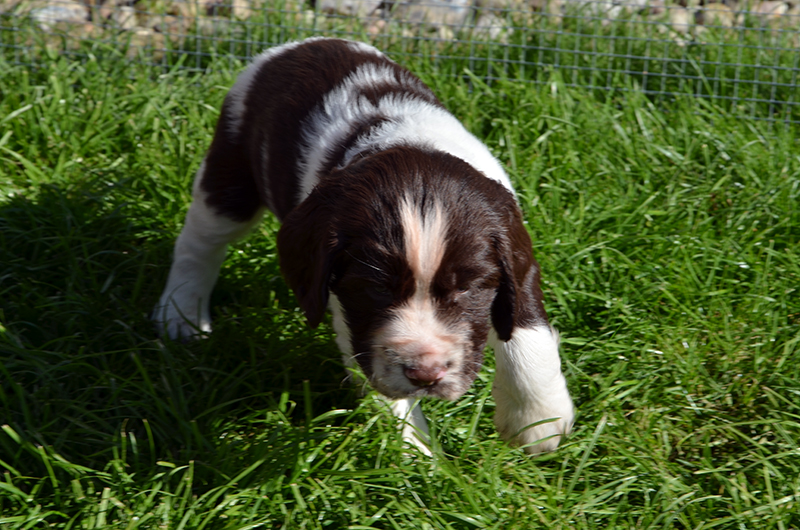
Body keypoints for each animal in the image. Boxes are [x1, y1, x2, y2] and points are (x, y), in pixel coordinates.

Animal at [152, 36, 576, 454]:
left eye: (470, 288)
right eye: (375, 288)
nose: (425, 374)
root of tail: (299, 44)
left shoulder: (514, 255)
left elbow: (526, 329)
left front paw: (538, 420)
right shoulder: (348, 307)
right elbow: (383, 383)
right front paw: (417, 458)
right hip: (232, 171)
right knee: (200, 242)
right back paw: (181, 315)